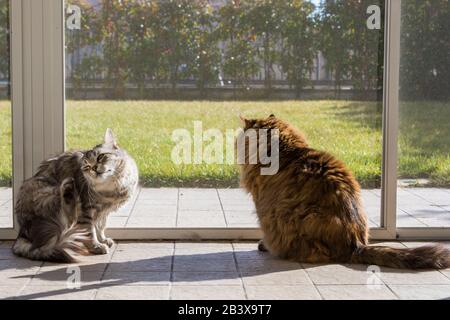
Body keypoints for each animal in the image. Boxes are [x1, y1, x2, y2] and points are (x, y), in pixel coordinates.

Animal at [12, 129, 139, 262]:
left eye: (100, 157)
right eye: (87, 167)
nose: (94, 168)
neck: (112, 189)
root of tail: (22, 232)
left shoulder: (103, 212)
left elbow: (100, 226)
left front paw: (103, 239)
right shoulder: (87, 209)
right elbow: (89, 231)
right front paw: (96, 246)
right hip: (47, 191)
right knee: (68, 218)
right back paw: (68, 189)